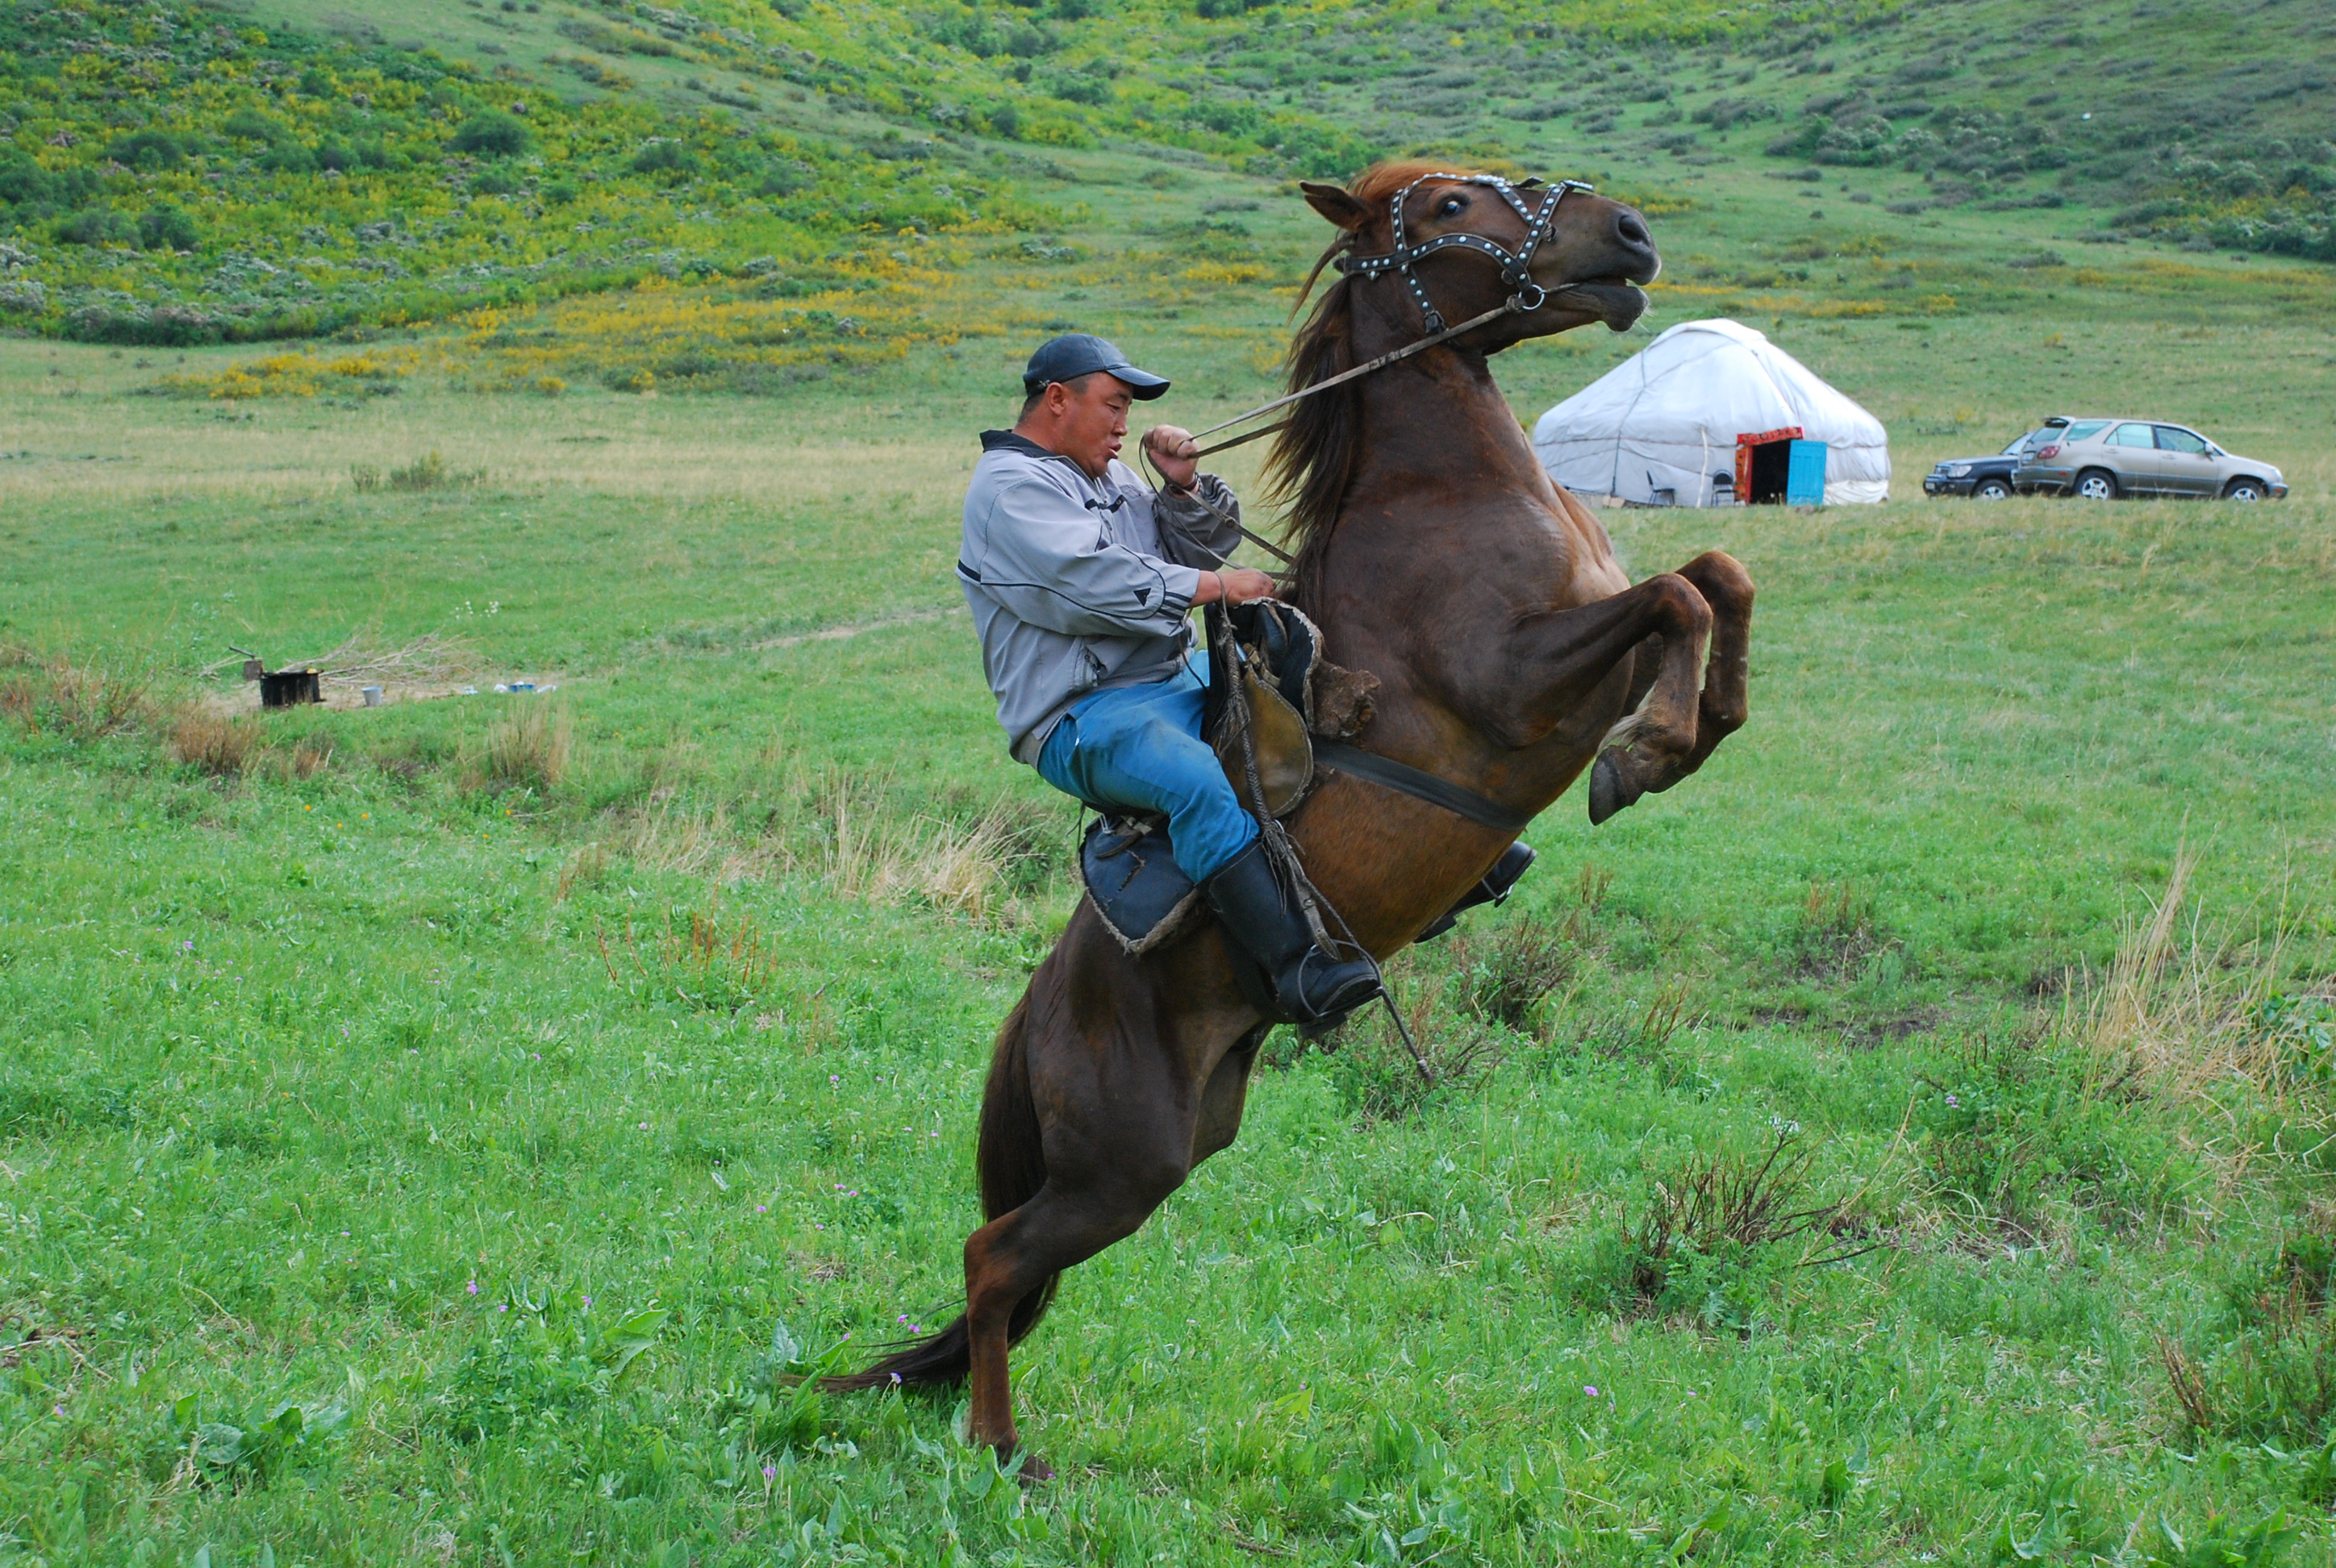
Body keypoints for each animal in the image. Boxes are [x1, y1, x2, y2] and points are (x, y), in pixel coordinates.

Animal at [841, 159, 1756, 1477]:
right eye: (1445, 208)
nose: (1628, 237)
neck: (1452, 502)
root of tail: (1039, 1009)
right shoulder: (1521, 685)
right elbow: (1678, 594)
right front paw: (1648, 754)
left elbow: (1717, 575)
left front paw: (1698, 726)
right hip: (1121, 1166)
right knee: (991, 1260)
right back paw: (1005, 1453)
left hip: (1171, 1151)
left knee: (1004, 1271)